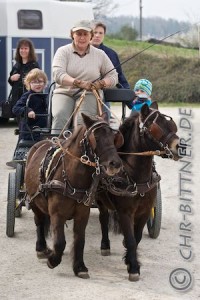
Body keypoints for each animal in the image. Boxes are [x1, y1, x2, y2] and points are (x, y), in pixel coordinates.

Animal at [24, 113, 122, 278]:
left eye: (112, 136)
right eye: (96, 137)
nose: (115, 163)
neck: (72, 177)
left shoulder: (82, 214)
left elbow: (79, 240)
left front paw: (79, 266)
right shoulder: (57, 213)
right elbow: (60, 242)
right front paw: (53, 260)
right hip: (34, 201)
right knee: (39, 222)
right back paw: (41, 248)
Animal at [96, 102, 182, 282]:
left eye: (171, 125)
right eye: (155, 127)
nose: (180, 147)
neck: (135, 178)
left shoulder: (144, 211)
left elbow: (137, 238)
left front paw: (130, 260)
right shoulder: (125, 212)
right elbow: (130, 239)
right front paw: (134, 268)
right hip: (100, 201)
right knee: (103, 218)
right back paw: (105, 245)